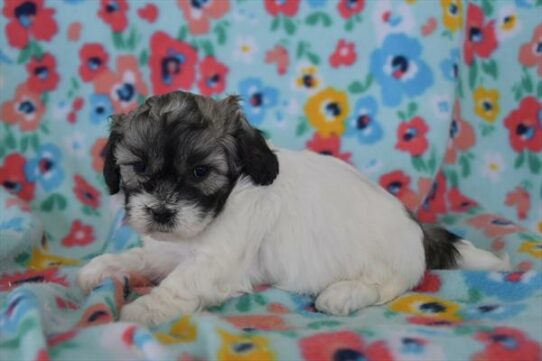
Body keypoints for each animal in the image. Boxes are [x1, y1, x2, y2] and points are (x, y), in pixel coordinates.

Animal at [78, 90, 512, 326]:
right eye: (139, 167)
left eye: (200, 171)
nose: (162, 212)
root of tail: (418, 229)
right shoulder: (168, 248)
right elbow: (141, 258)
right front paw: (102, 267)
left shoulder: (217, 261)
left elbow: (180, 281)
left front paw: (145, 309)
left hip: (387, 268)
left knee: (386, 287)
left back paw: (342, 294)